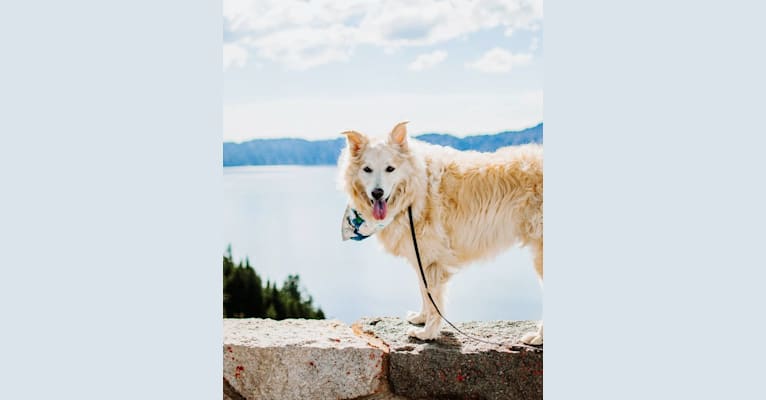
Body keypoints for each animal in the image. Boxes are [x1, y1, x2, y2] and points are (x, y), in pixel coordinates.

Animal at [340, 121, 544, 344]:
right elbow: (424, 291)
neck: (415, 189)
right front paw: (420, 319)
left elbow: (433, 299)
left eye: (390, 169)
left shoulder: (432, 259)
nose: (377, 193)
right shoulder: (420, 255)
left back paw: (538, 337)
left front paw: (427, 333)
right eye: (367, 169)